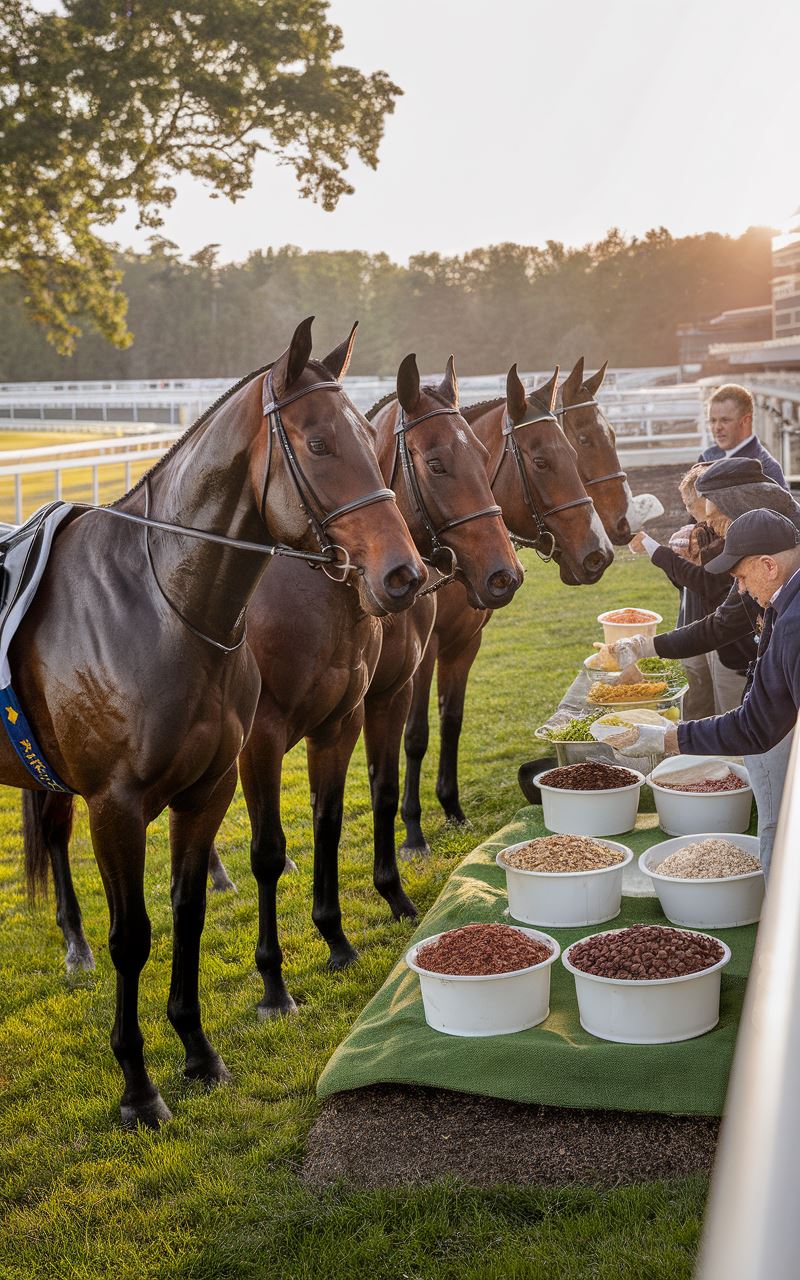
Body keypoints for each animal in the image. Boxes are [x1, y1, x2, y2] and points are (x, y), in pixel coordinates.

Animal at [10, 320, 424, 1131]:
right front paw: (139, 1088)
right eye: (320, 442)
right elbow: (133, 937)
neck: (160, 604)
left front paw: (199, 1052)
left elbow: (189, 911)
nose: (404, 573)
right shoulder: (116, 805)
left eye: (371, 437)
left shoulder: (207, 791)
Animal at [399, 360, 616, 849]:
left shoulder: (465, 644)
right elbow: (416, 734)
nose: (600, 554)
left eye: (574, 450)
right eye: (542, 461)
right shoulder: (420, 656)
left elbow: (452, 721)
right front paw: (413, 830)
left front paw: (452, 809)